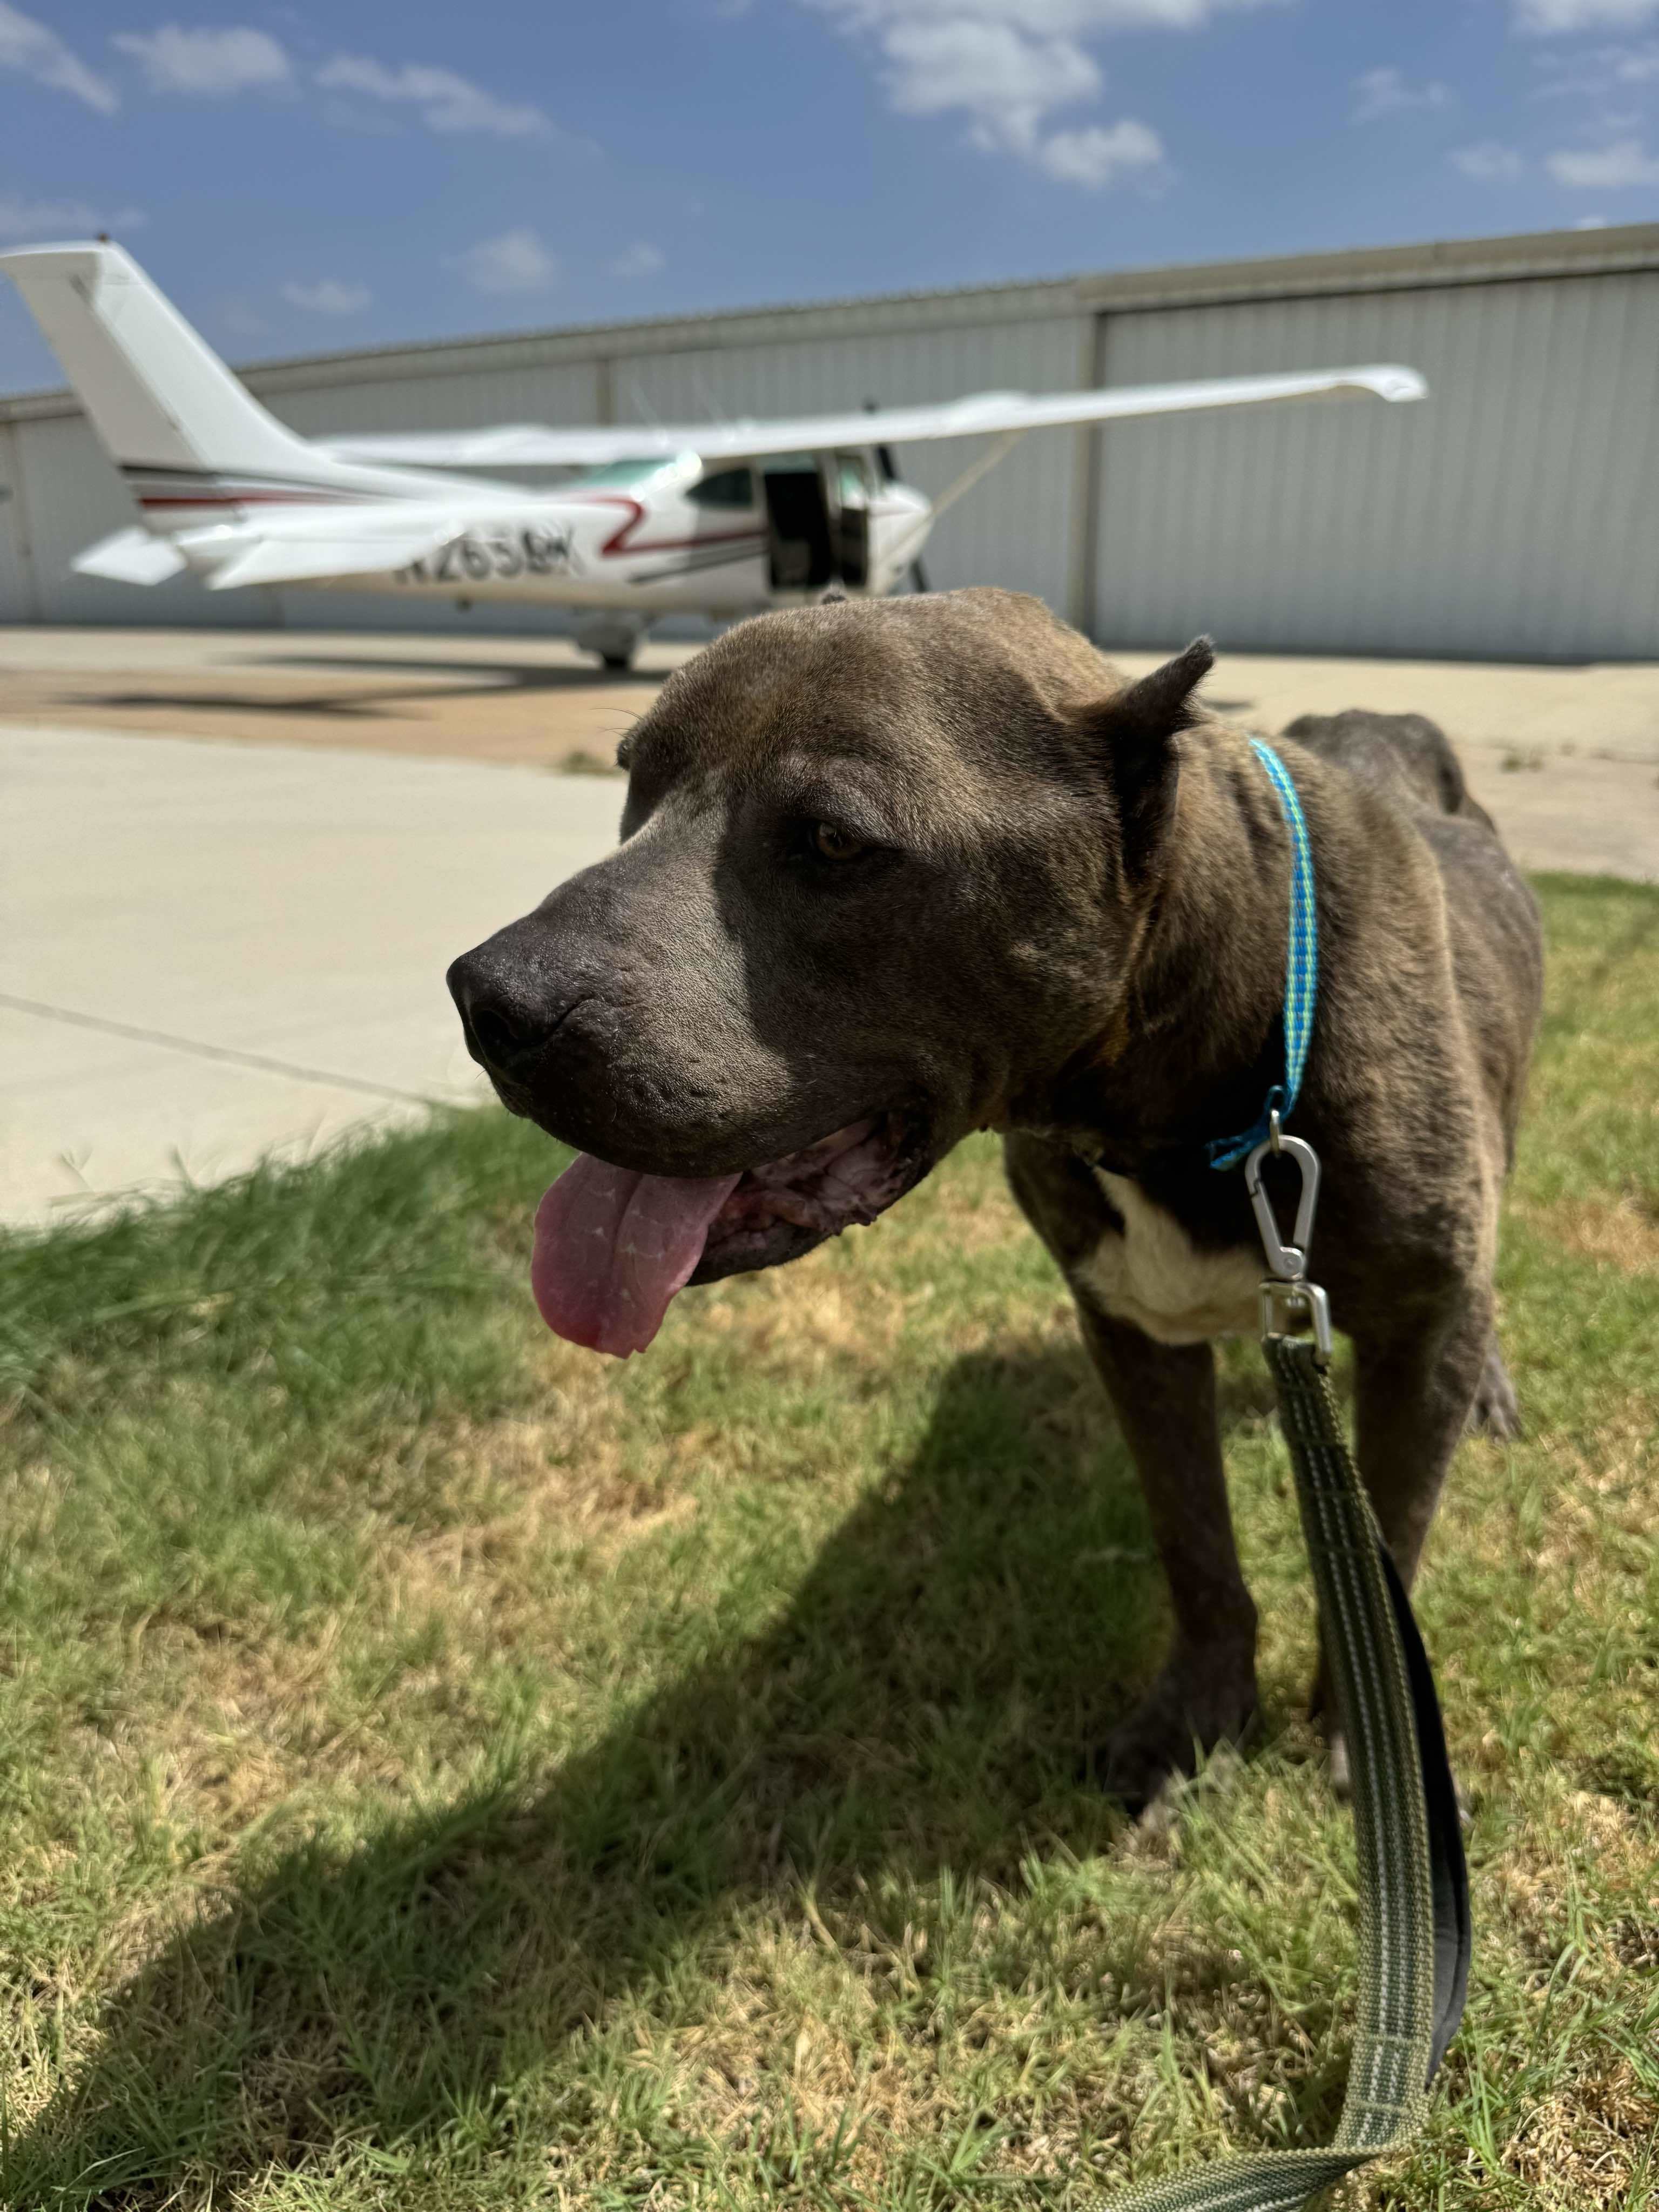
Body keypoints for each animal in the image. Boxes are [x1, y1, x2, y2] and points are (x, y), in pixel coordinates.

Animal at [444, 592, 1548, 1813]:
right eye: (634, 780)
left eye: (835, 841)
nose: (492, 1001)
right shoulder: (1132, 1331)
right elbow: (1195, 1545)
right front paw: (1196, 1714)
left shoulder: (1410, 1323)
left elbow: (1390, 1540)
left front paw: (1380, 1748)